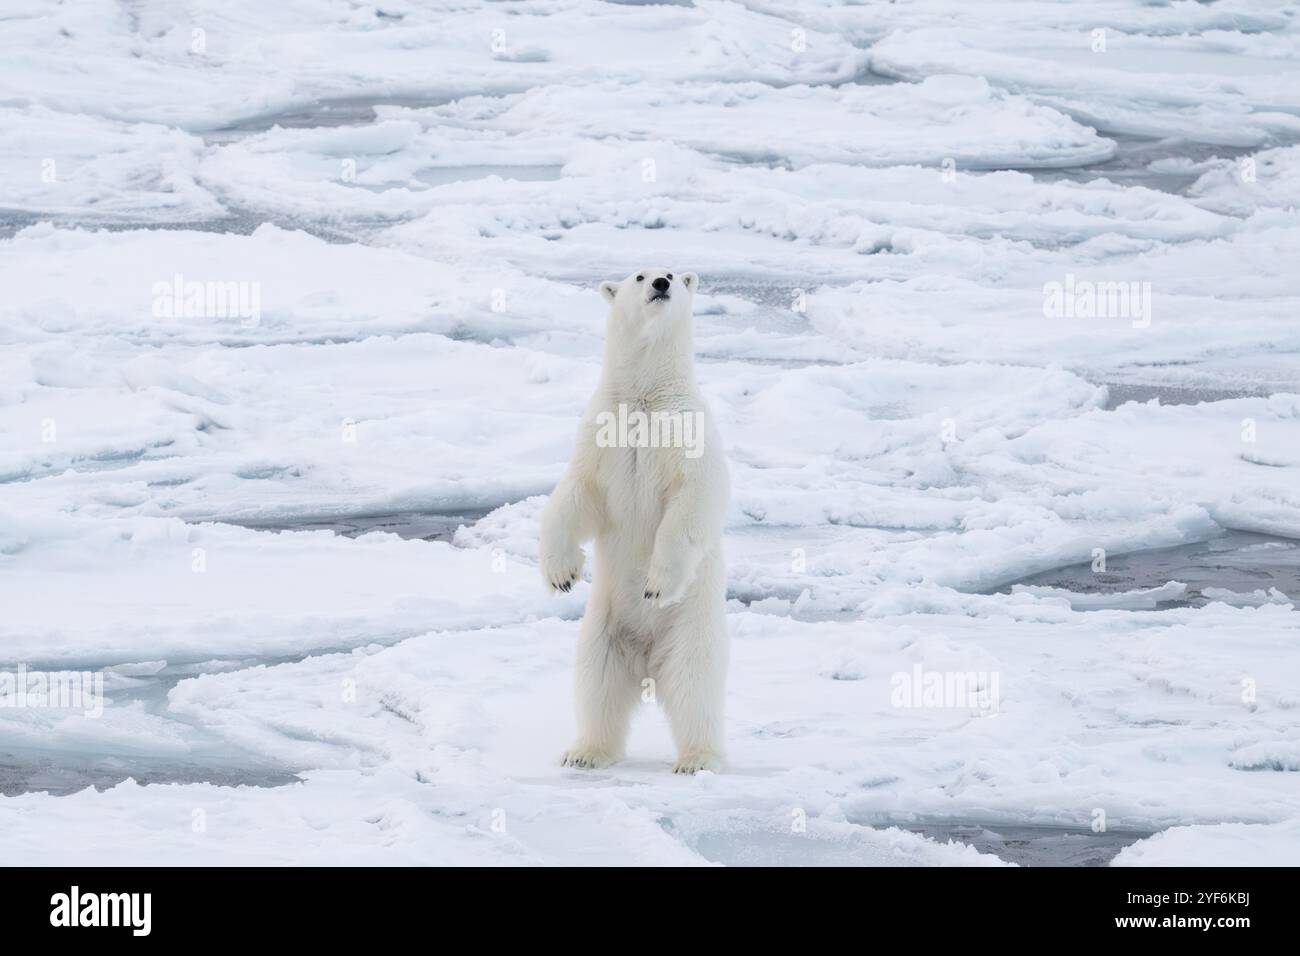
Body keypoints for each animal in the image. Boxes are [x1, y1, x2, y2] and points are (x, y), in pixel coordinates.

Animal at [539, 268, 730, 774]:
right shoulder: (602, 432)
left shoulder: (687, 431)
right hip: (601, 629)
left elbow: (692, 500)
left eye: (674, 273)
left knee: (694, 687)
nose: (661, 282)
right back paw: (585, 752)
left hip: (692, 628)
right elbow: (576, 495)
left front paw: (656, 585)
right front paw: (560, 574)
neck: (646, 396)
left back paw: (697, 759)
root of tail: (647, 662)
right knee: (596, 685)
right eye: (639, 275)